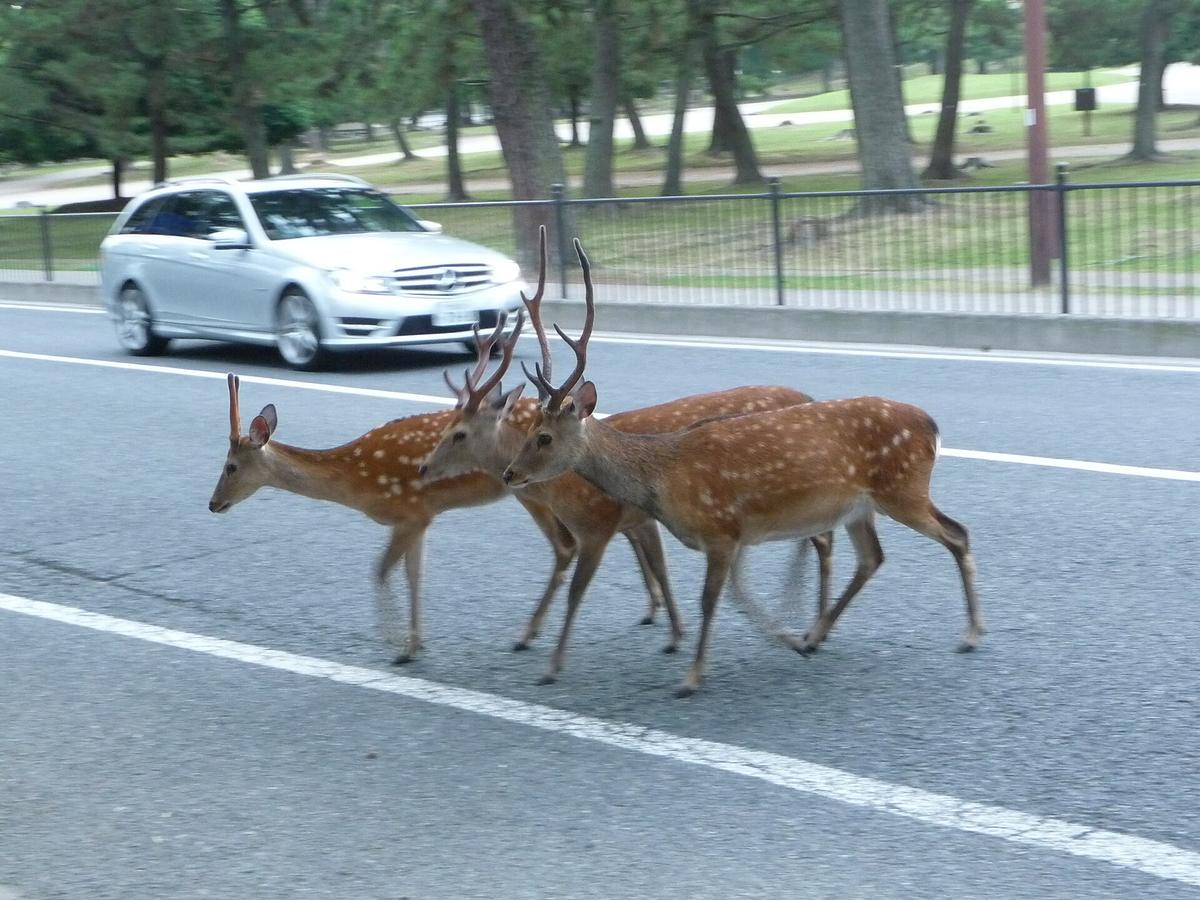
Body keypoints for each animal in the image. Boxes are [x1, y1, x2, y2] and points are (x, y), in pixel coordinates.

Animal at [207, 369, 676, 665]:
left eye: (230, 466)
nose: (212, 504)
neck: (355, 481)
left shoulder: (409, 513)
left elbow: (382, 571)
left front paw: (396, 645)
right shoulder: (422, 518)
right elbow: (415, 575)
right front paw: (416, 644)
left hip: (533, 491)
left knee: (569, 545)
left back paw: (532, 633)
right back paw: (651, 607)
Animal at [417, 239, 830, 684]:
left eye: (458, 433)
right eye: (447, 425)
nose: (423, 467)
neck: (561, 489)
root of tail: (808, 396)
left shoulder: (603, 523)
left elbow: (587, 582)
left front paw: (546, 655)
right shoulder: (637, 519)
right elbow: (653, 565)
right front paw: (668, 629)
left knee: (823, 538)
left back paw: (814, 627)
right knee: (814, 535)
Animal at [502, 238, 984, 698]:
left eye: (544, 437)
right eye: (530, 431)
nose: (509, 474)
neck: (661, 478)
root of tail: (932, 426)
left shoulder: (719, 528)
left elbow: (710, 599)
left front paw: (691, 678)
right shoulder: (737, 532)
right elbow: (738, 593)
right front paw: (786, 640)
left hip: (903, 488)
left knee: (956, 533)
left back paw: (971, 634)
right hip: (859, 506)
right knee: (872, 557)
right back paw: (816, 635)